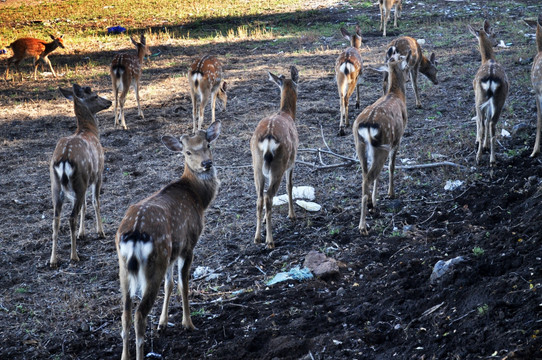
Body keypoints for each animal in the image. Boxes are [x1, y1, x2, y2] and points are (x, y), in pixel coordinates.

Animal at [49, 83, 111, 268]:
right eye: (96, 96)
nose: (109, 102)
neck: (89, 131)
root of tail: (63, 160)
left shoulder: (86, 181)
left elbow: (85, 205)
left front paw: (82, 233)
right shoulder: (98, 174)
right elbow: (95, 201)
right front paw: (100, 231)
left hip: (56, 186)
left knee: (55, 219)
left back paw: (53, 260)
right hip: (79, 181)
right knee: (71, 218)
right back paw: (74, 256)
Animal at [117, 121, 223, 360]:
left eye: (208, 144)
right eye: (187, 152)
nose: (207, 163)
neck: (198, 198)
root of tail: (134, 234)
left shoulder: (172, 252)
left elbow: (170, 283)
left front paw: (163, 324)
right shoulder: (189, 243)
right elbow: (183, 284)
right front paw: (188, 323)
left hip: (126, 267)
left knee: (125, 313)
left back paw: (125, 355)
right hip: (154, 262)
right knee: (139, 314)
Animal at [252, 66, 300, 249]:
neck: (287, 113)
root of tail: (267, 139)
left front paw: (265, 221)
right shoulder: (292, 162)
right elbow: (290, 186)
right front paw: (292, 215)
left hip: (257, 164)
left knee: (260, 197)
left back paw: (257, 237)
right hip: (279, 164)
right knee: (268, 196)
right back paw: (270, 241)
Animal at [352, 52, 412, 235]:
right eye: (407, 67)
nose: (408, 78)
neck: (396, 94)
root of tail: (367, 125)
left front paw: (375, 200)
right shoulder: (398, 139)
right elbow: (392, 166)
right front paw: (390, 193)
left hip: (360, 145)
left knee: (365, 176)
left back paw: (369, 208)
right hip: (382, 145)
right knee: (370, 176)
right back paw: (363, 226)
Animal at [470, 20, 512, 165]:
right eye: (494, 33)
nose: (497, 43)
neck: (488, 59)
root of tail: (491, 78)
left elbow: (482, 122)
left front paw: (482, 145)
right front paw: (484, 146)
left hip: (481, 98)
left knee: (485, 124)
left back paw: (482, 157)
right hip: (497, 100)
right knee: (490, 123)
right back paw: (491, 159)